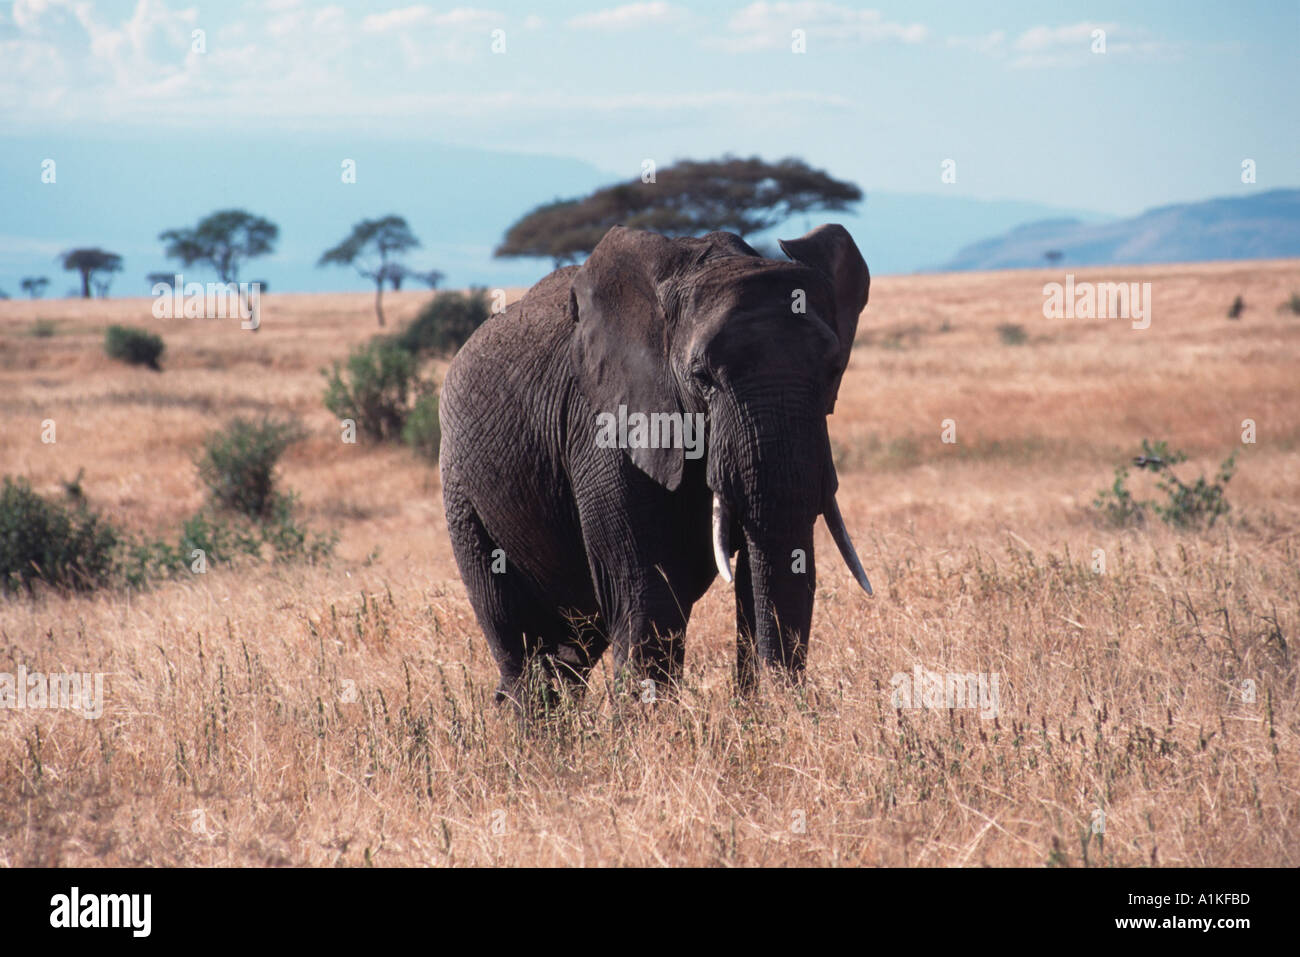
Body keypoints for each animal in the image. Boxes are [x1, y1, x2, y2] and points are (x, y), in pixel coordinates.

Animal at [439, 223, 873, 707]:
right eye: (702, 376)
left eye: (834, 370)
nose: (777, 705)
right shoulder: (605, 428)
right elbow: (647, 592)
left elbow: (767, 566)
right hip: (463, 490)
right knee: (519, 640)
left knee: (567, 654)